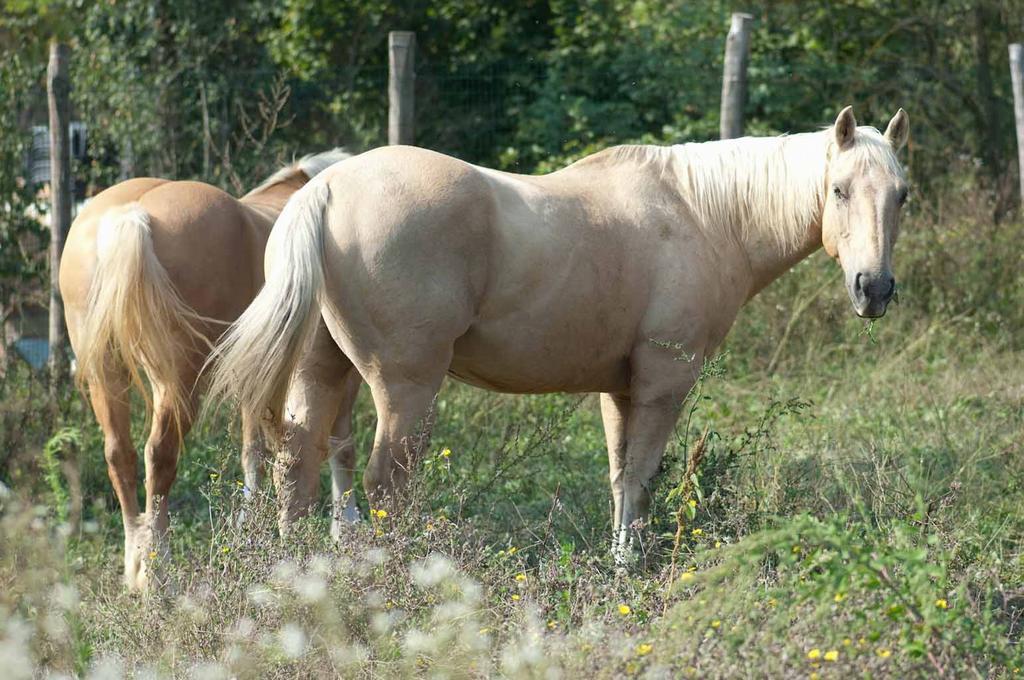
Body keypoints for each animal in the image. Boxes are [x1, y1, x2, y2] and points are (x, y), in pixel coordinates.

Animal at [60, 150, 360, 589]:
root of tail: (131, 216)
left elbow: (254, 450)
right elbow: (340, 444)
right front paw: (347, 530)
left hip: (106, 372)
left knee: (119, 453)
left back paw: (134, 565)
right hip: (179, 380)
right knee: (159, 456)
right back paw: (156, 571)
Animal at [209, 106, 913, 561]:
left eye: (901, 194)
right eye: (839, 189)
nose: (873, 289)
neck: (701, 213)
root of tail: (326, 188)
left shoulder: (620, 390)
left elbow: (621, 479)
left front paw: (619, 564)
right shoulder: (663, 383)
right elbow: (641, 476)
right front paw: (630, 573)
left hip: (324, 371)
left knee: (297, 466)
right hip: (405, 388)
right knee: (386, 485)